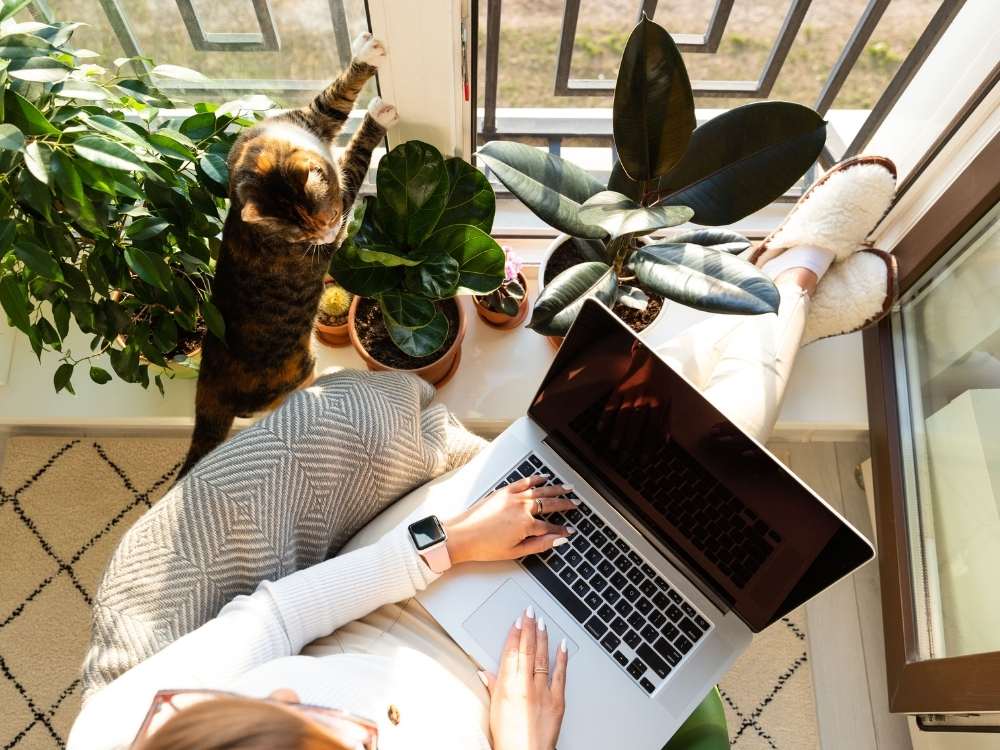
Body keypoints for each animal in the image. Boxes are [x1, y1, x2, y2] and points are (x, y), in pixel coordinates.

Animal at [176, 32, 398, 478]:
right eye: (304, 232)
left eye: (321, 217)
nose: (328, 232)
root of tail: (207, 388)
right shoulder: (343, 197)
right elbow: (355, 157)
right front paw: (378, 117)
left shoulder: (312, 118)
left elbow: (336, 95)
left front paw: (366, 54)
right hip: (296, 367)